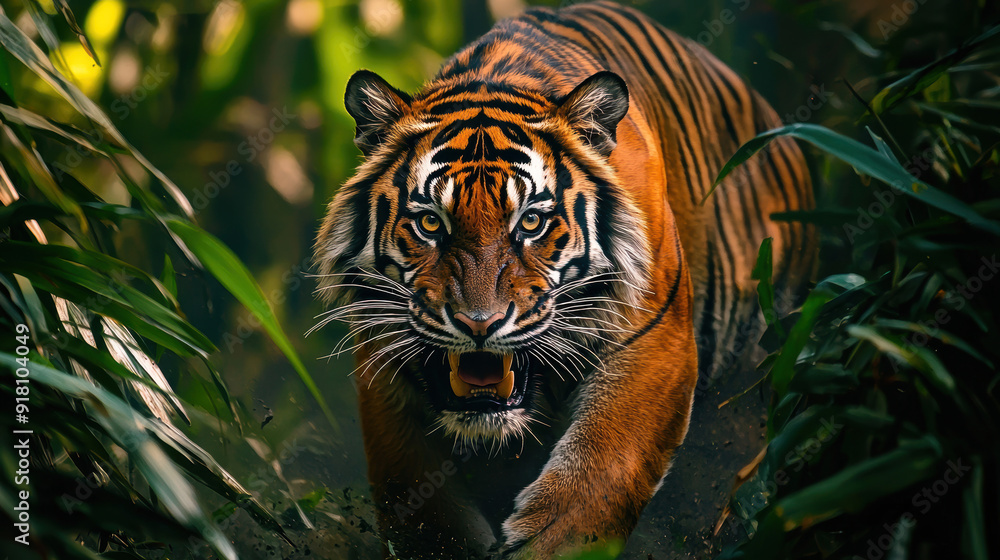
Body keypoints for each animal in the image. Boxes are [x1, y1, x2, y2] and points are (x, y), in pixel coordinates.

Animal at [313, 1, 815, 558]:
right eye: (430, 224)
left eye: (531, 221)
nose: (479, 324)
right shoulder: (384, 373)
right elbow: (420, 509)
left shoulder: (655, 342)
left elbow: (600, 475)